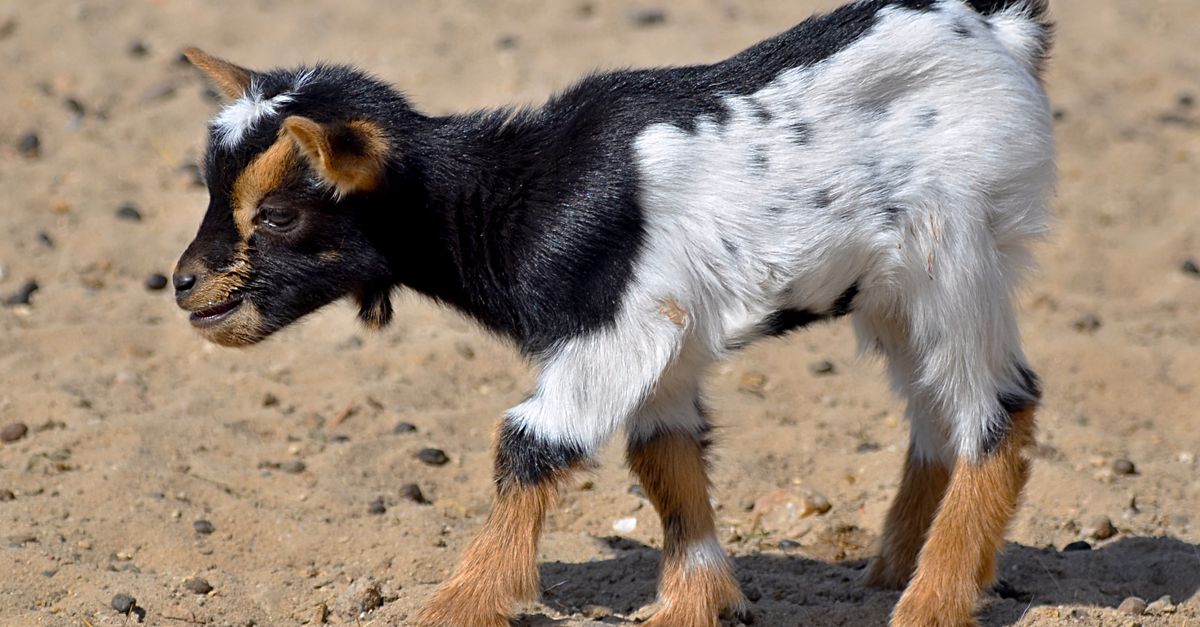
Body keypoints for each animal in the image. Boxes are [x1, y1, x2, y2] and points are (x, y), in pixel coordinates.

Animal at [174, 0, 1054, 625]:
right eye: (213, 187)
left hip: (953, 256)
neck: (516, 195)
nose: (183, 283)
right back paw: (897, 565)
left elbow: (530, 443)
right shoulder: (666, 340)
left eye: (279, 214)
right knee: (934, 409)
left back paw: (931, 602)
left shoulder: (620, 330)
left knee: (1000, 409)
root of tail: (1004, 33)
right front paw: (693, 604)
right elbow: (665, 456)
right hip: (893, 291)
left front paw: (455, 605)